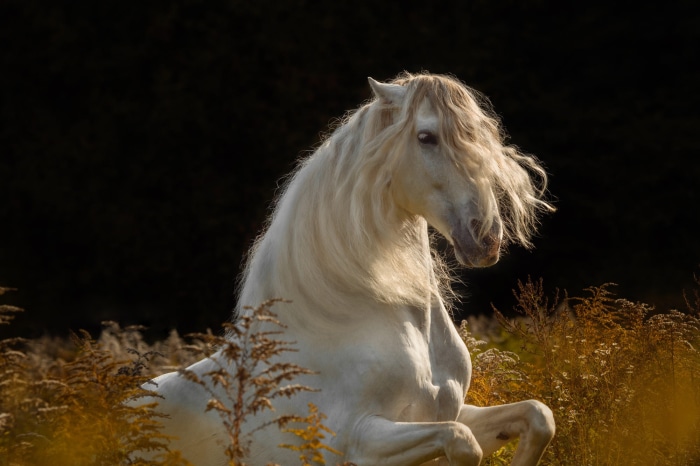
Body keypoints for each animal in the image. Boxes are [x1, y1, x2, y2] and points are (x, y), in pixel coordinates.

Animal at [145, 72, 556, 465]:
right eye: (426, 137)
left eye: (483, 133)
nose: (485, 236)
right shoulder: (358, 440)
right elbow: (462, 442)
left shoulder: (454, 412)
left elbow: (538, 416)